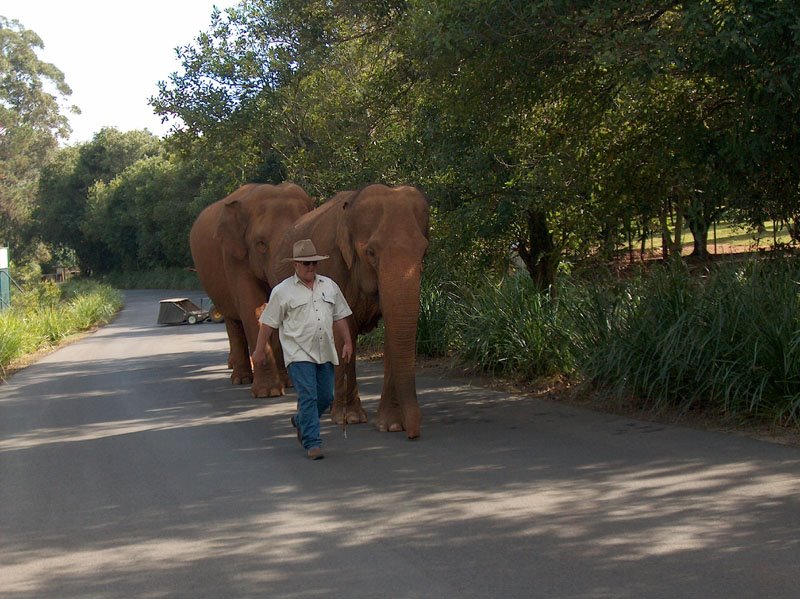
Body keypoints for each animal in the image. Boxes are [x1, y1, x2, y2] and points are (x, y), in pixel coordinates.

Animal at [189, 183, 314, 398]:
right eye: (261, 244)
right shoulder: (235, 256)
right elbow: (251, 307)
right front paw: (268, 393)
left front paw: (288, 384)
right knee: (233, 322)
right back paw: (241, 379)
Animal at [270, 185, 432, 438]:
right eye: (371, 253)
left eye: (424, 251)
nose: (413, 434)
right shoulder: (332, 261)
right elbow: (341, 327)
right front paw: (349, 419)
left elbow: (391, 327)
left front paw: (392, 426)